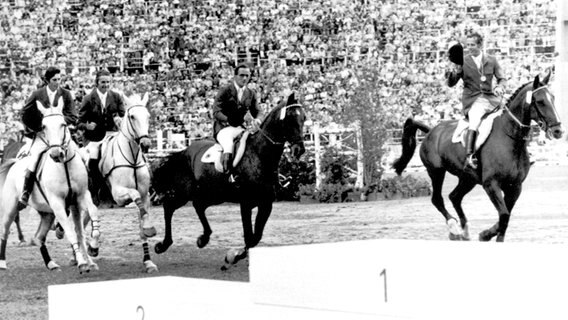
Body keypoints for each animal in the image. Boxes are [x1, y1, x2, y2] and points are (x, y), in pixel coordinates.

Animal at [0, 100, 100, 272]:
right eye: (44, 126)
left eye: (63, 124)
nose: (55, 154)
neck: (65, 165)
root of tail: (15, 163)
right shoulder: (58, 204)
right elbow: (71, 232)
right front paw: (82, 262)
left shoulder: (80, 197)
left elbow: (87, 220)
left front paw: (92, 249)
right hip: (11, 208)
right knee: (5, 231)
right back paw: (2, 262)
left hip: (47, 213)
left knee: (38, 237)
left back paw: (51, 263)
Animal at [96, 92, 156, 272]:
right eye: (132, 116)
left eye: (148, 116)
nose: (145, 144)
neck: (132, 159)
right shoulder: (118, 195)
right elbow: (134, 194)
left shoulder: (145, 195)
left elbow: (142, 224)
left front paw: (148, 261)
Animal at [149, 93, 304, 268]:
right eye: (290, 119)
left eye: (304, 118)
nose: (300, 150)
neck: (259, 155)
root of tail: (185, 150)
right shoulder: (246, 204)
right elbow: (249, 237)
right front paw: (232, 257)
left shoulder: (266, 204)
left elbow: (256, 237)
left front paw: (234, 256)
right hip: (184, 193)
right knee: (169, 208)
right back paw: (163, 245)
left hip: (213, 194)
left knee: (198, 206)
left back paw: (203, 238)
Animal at [394, 71, 564, 241]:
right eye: (540, 101)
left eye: (553, 98)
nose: (558, 131)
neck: (509, 138)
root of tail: (431, 131)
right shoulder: (491, 185)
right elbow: (504, 215)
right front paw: (486, 234)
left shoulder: (515, 187)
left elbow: (505, 217)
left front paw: (488, 234)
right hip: (436, 172)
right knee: (437, 199)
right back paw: (454, 228)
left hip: (467, 179)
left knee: (454, 197)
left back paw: (465, 231)